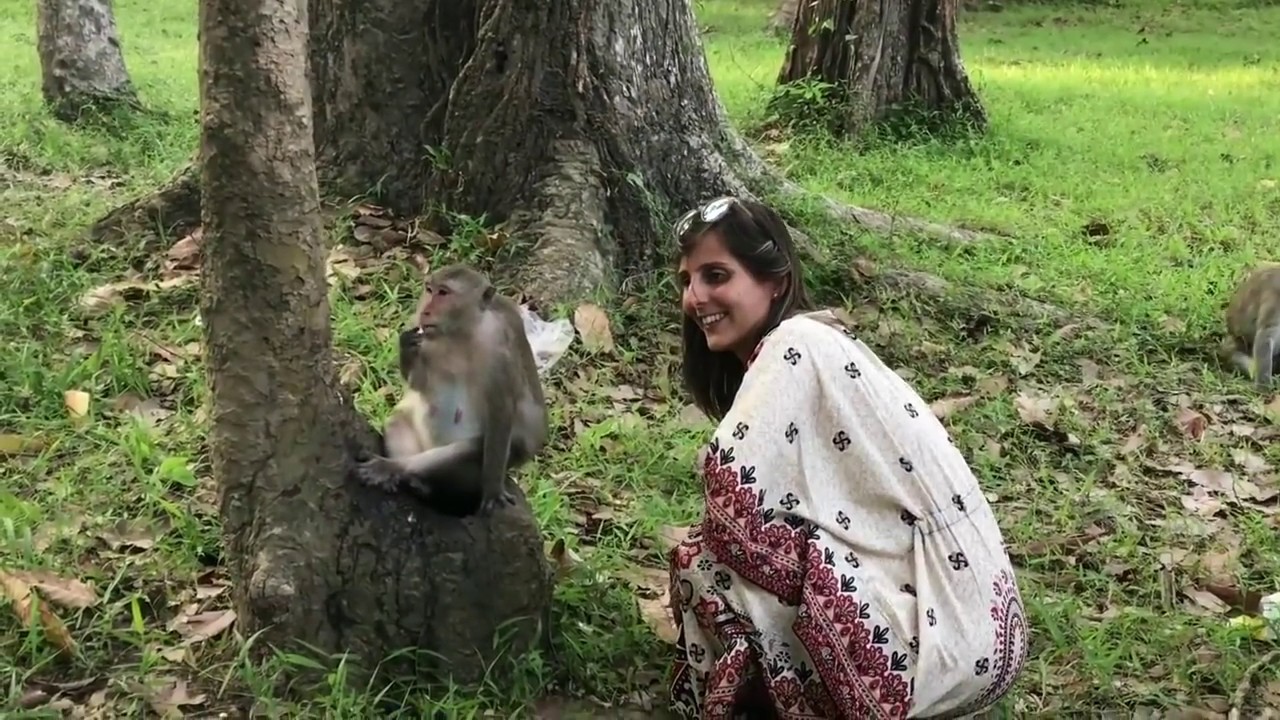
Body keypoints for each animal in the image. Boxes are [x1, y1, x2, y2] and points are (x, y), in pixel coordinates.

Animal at [356, 264, 549, 516]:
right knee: (398, 421)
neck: (460, 333)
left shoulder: (500, 351)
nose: (425, 311)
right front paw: (405, 345)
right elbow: (420, 384)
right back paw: (410, 481)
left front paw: (493, 490)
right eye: (429, 290)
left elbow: (502, 412)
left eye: (444, 293)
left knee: (473, 448)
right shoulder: (427, 340)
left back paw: (397, 469)